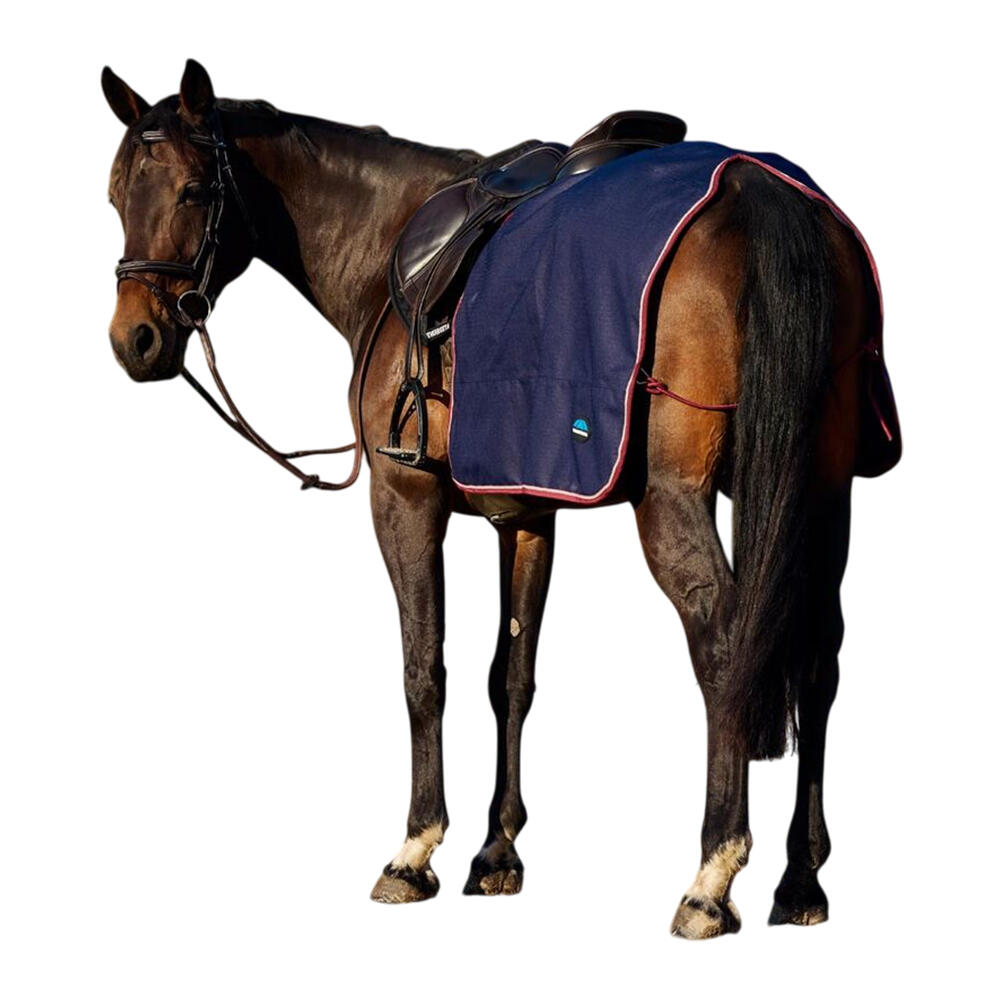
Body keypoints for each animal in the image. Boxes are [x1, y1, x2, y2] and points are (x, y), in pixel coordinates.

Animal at [103, 59, 900, 938]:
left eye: (192, 190)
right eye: (115, 195)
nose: (135, 340)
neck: (387, 243)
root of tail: (759, 192)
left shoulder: (404, 501)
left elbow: (425, 670)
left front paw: (415, 850)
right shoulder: (525, 514)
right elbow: (509, 678)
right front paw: (496, 852)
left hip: (675, 502)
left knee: (727, 645)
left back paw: (711, 877)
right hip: (819, 493)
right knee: (816, 655)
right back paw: (800, 879)